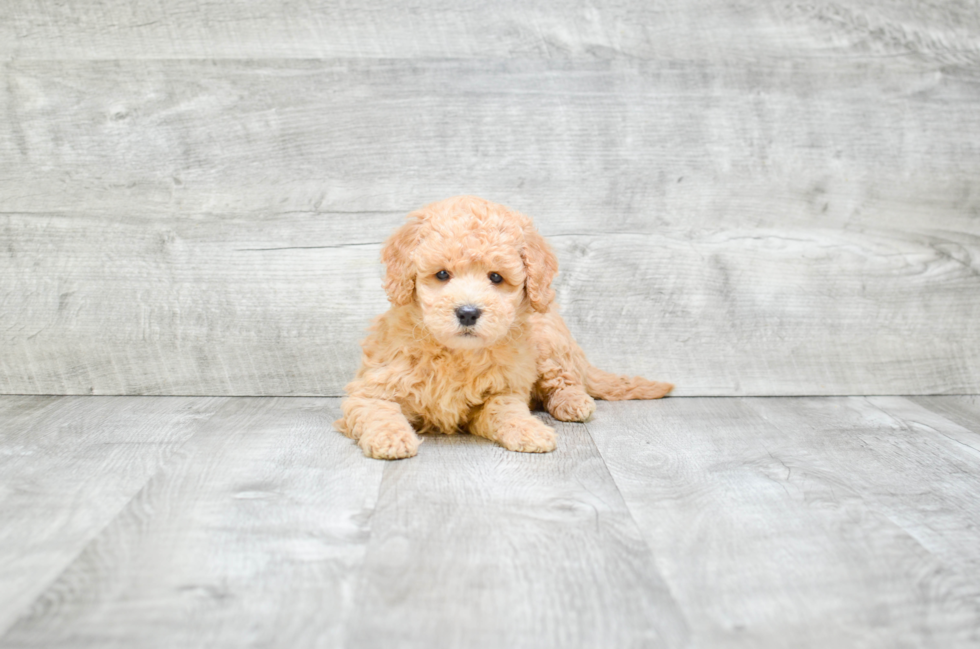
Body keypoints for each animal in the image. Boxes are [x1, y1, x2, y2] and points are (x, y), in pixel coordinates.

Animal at [334, 195, 668, 458]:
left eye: (495, 277)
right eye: (442, 274)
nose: (468, 313)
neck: (456, 354)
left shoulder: (503, 390)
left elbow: (506, 410)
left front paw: (530, 430)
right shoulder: (372, 389)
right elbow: (378, 412)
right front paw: (391, 438)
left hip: (548, 342)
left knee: (565, 380)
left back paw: (573, 402)